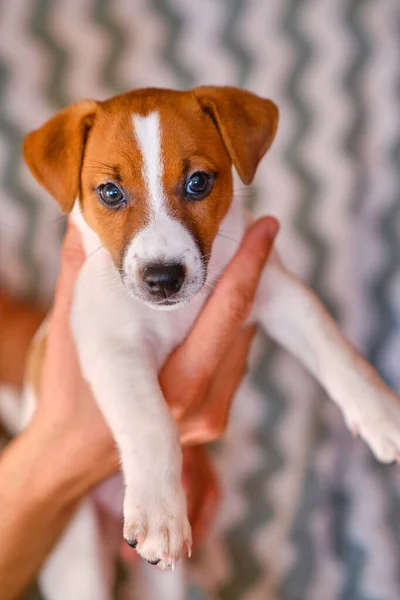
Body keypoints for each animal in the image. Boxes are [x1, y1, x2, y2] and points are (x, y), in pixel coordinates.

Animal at [22, 85, 400, 600]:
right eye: (110, 193)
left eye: (198, 183)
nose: (163, 278)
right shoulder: (110, 345)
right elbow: (151, 422)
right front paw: (160, 514)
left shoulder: (275, 289)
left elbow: (333, 344)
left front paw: (381, 411)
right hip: (77, 552)